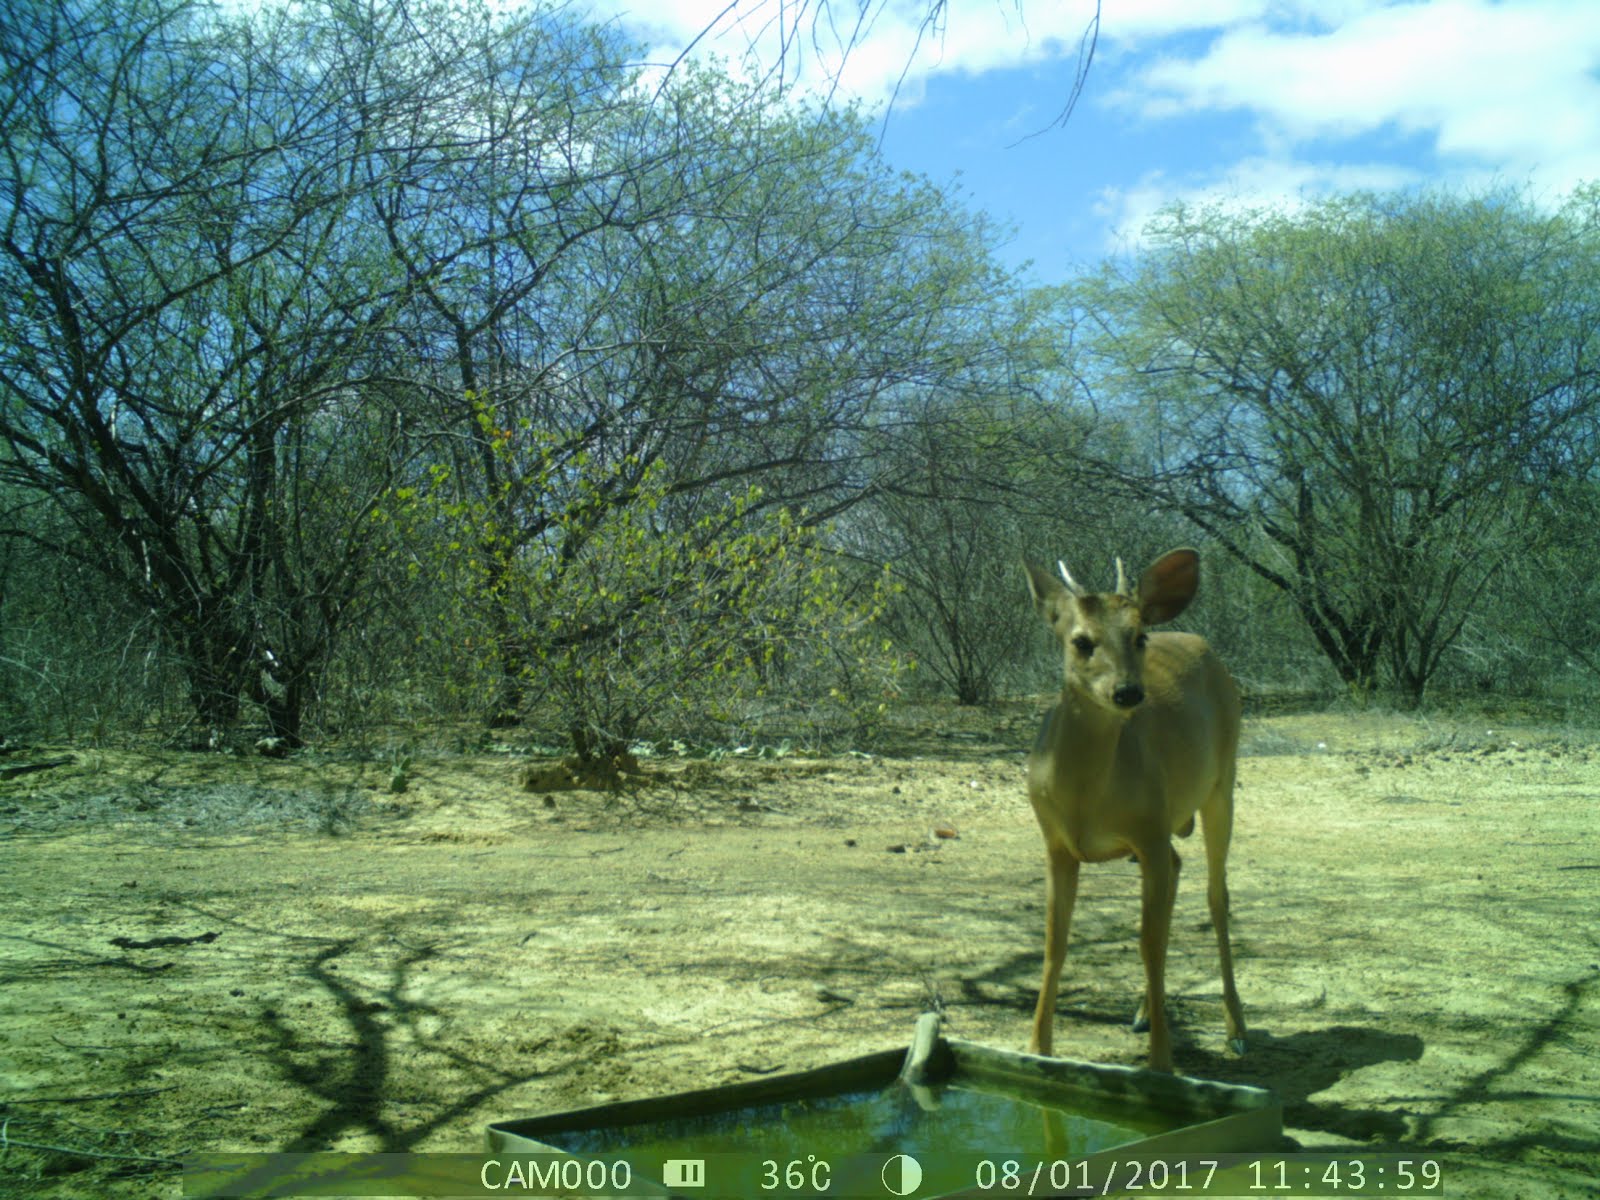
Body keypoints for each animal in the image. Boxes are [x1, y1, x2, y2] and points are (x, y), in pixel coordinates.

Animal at [1024, 550, 1248, 1075]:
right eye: (1081, 640)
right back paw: (1144, 1013)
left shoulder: (1147, 833)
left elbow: (1150, 945)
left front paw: (1162, 1063)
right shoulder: (1056, 843)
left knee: (1217, 896)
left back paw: (1236, 1030)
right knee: (1181, 869)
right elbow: (1054, 942)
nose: (1128, 692)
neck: (1085, 800)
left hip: (1222, 783)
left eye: (1139, 635)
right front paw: (1037, 1048)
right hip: (1169, 823)